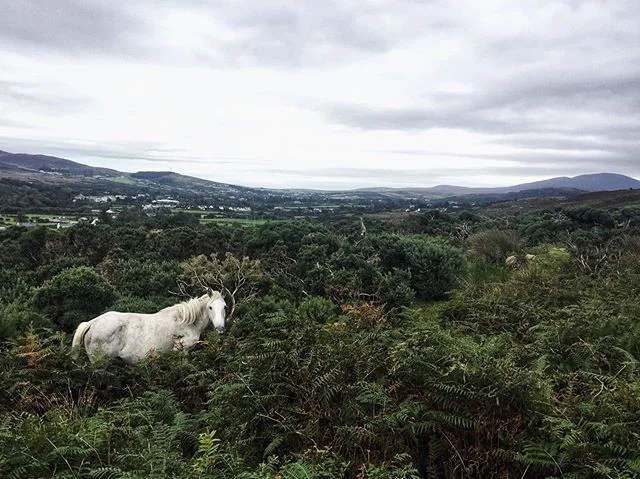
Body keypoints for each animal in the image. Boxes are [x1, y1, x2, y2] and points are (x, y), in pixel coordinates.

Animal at [71, 290, 227, 363]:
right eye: (210, 307)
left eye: (225, 306)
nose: (220, 327)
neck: (186, 322)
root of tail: (92, 323)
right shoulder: (182, 352)